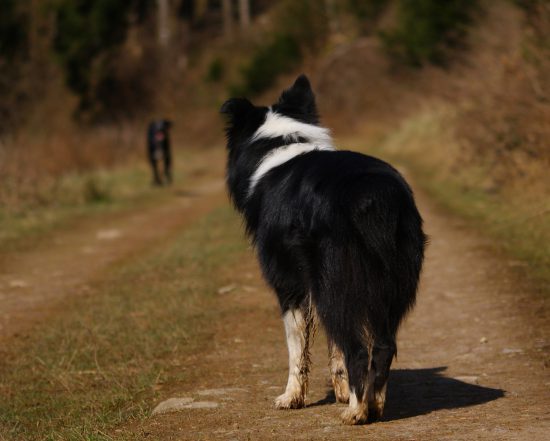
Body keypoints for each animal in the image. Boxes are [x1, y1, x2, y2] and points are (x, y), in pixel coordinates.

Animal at [221, 75, 426, 422]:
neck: (279, 143)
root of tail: (373, 194)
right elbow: (334, 345)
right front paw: (342, 391)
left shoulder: (289, 283)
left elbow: (297, 347)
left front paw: (291, 397)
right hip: (391, 280)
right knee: (383, 344)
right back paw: (374, 404)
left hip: (337, 277)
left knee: (359, 349)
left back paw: (356, 413)